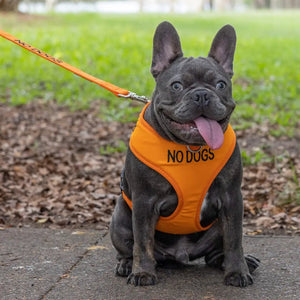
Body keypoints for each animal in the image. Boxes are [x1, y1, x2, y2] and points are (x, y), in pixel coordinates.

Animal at [109, 19, 258, 288]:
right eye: (177, 86)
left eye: (221, 84)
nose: (202, 94)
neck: (191, 148)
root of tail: (180, 254)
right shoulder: (144, 202)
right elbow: (142, 242)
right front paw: (143, 273)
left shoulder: (232, 198)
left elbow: (234, 240)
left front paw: (237, 271)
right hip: (120, 217)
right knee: (129, 246)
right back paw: (126, 264)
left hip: (216, 227)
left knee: (216, 252)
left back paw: (235, 262)